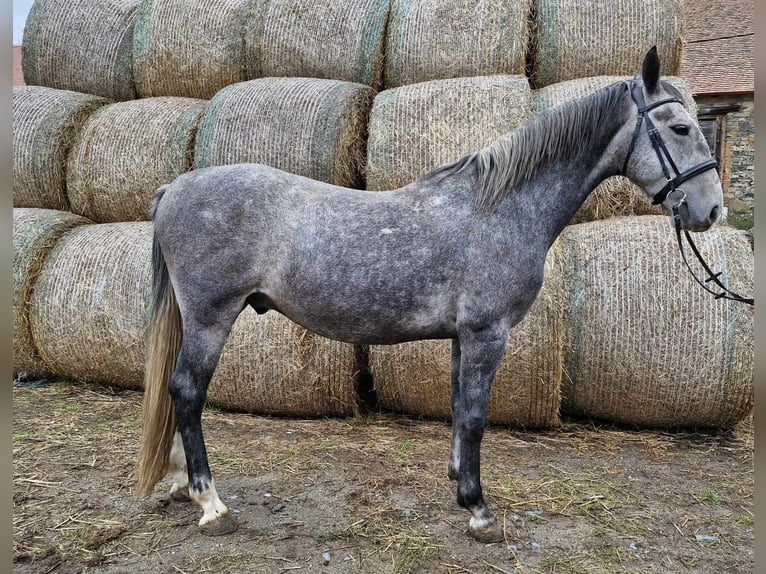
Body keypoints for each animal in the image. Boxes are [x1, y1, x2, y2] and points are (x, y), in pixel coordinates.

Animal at [140, 48, 728, 544]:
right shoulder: (487, 334)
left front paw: (458, 483)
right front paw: (479, 510)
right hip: (211, 317)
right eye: (680, 127)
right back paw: (210, 502)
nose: (711, 210)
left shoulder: (463, 338)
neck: (498, 208)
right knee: (187, 392)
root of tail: (175, 188)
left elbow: (458, 408)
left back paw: (179, 482)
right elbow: (475, 415)